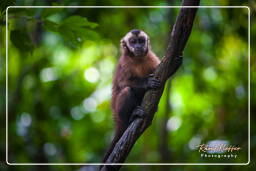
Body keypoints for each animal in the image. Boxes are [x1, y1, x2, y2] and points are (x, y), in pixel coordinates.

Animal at [101, 29, 160, 166]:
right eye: (133, 42)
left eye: (141, 41)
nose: (138, 47)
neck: (138, 60)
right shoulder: (124, 63)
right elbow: (124, 84)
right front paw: (146, 82)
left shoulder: (151, 57)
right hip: (119, 113)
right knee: (127, 91)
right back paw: (132, 116)